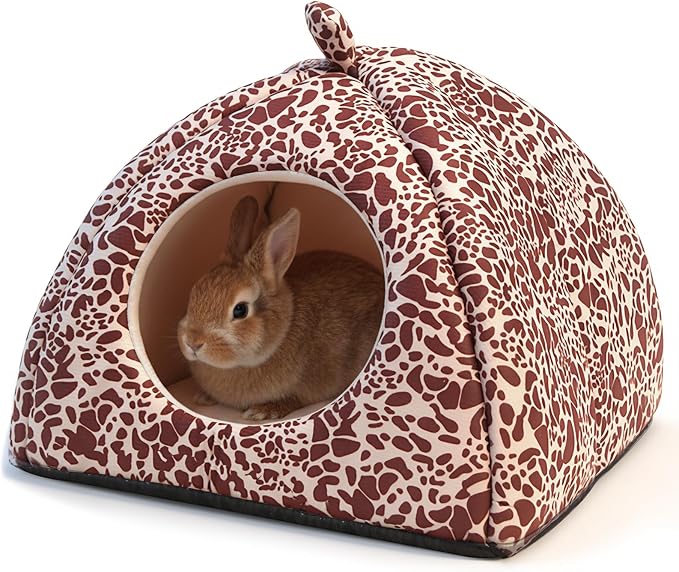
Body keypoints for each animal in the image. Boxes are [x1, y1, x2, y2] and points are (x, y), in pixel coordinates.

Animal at [177, 195, 384, 421]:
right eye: (194, 293)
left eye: (240, 310)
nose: (192, 343)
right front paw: (203, 397)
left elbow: (296, 399)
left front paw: (263, 411)